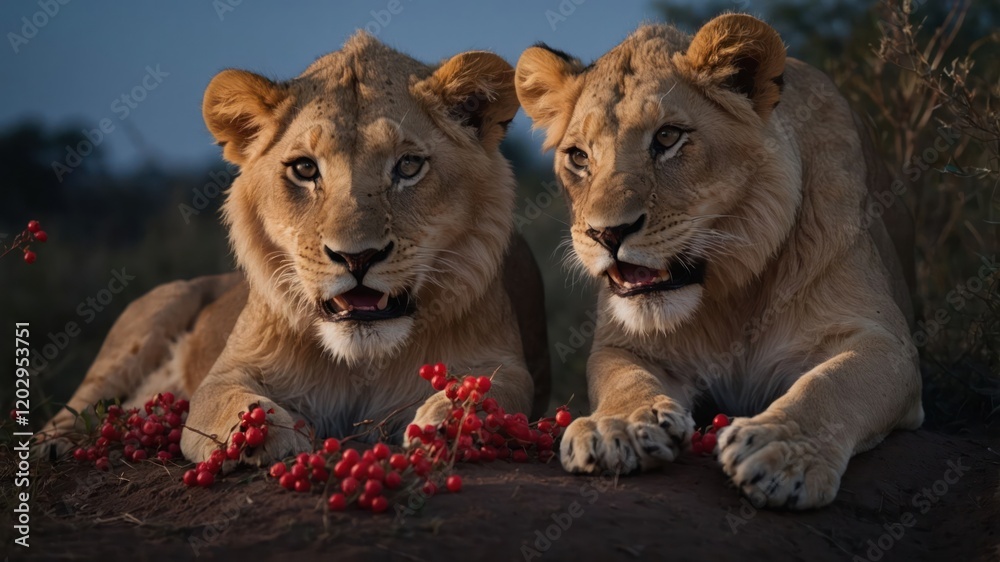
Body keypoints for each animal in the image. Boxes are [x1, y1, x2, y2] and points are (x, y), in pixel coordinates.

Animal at [40, 33, 551, 465]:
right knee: (74, 406)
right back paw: (53, 445)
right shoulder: (225, 373)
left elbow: (485, 392)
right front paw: (265, 435)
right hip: (153, 314)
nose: (356, 257)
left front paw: (447, 423)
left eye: (408, 166)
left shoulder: (505, 366)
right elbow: (227, 399)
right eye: (305, 169)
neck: (361, 364)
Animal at [514, 14, 923, 509]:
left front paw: (779, 450)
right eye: (578, 156)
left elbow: (830, 385)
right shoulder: (624, 344)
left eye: (667, 137)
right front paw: (618, 426)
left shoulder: (887, 343)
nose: (606, 233)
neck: (730, 296)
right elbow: (622, 378)